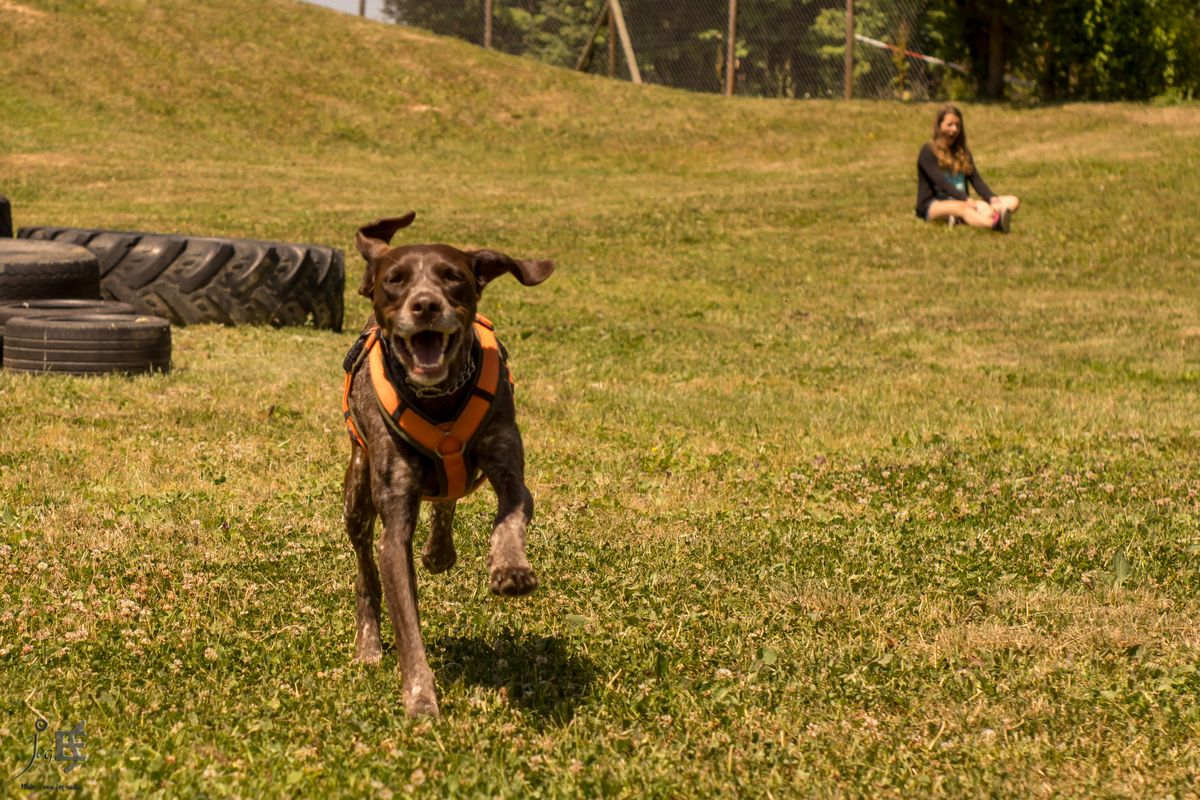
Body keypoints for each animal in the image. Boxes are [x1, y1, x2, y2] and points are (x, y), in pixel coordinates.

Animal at [338, 212, 552, 719]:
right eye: (395, 280)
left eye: (453, 277)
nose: (425, 305)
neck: (439, 400)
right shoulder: (393, 519)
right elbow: (405, 618)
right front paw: (420, 697)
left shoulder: (508, 465)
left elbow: (509, 515)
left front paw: (510, 568)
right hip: (357, 491)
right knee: (364, 567)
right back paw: (368, 640)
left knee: (447, 499)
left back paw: (440, 550)